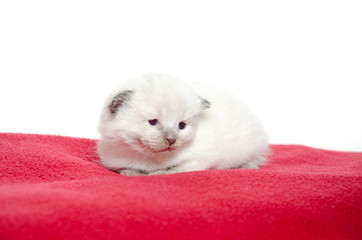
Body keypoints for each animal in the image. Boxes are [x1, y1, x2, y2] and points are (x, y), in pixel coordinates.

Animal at [97, 72, 268, 175]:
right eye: (153, 122)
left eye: (182, 125)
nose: (171, 140)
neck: (150, 158)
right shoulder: (113, 161)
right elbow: (127, 170)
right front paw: (136, 172)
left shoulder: (198, 158)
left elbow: (170, 171)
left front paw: (155, 173)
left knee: (255, 159)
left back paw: (246, 166)